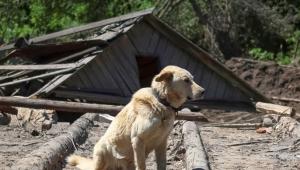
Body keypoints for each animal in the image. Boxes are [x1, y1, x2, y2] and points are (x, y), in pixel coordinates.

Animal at [67, 65, 205, 170]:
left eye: (192, 79)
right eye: (186, 80)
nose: (204, 91)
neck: (162, 102)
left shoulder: (162, 142)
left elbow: (162, 164)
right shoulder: (138, 139)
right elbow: (142, 165)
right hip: (102, 148)